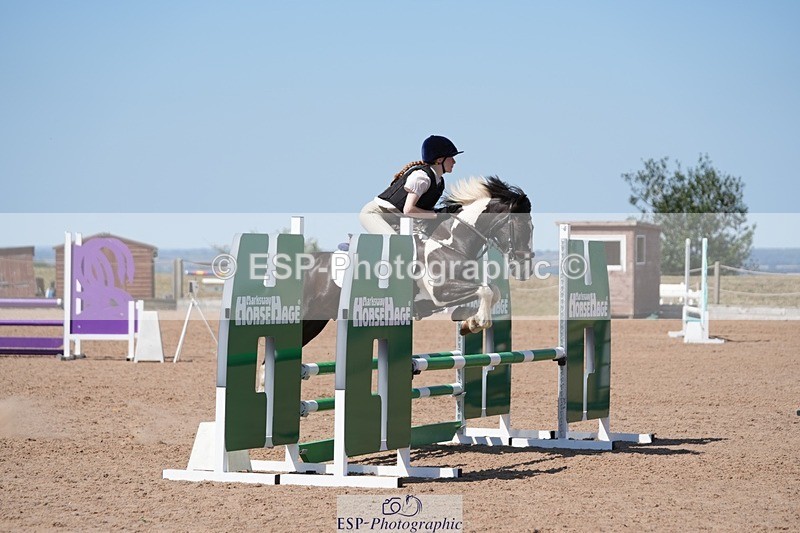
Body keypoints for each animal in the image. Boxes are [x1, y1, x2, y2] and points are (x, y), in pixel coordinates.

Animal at [301, 176, 533, 345]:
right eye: (523, 226)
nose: (526, 270)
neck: (450, 242)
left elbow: (493, 290)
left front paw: (469, 322)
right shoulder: (440, 292)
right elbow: (485, 290)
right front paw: (477, 322)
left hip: (315, 321)